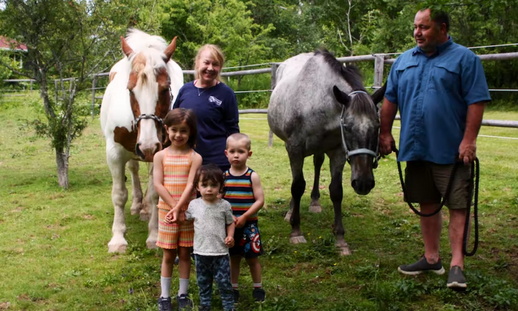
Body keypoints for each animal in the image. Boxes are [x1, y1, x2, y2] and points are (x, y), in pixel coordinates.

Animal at [100, 29, 184, 254]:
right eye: (130, 89)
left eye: (165, 88)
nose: (147, 146)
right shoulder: (114, 153)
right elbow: (119, 194)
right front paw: (118, 238)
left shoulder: (160, 153)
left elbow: (156, 195)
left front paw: (154, 236)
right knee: (134, 170)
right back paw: (138, 204)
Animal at [268, 50, 386, 256]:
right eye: (347, 127)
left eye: (377, 126)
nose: (363, 183)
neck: (317, 103)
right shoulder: (295, 148)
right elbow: (297, 186)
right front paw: (296, 231)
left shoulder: (338, 152)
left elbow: (336, 191)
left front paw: (340, 239)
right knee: (296, 180)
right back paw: (291, 211)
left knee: (317, 163)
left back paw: (314, 202)